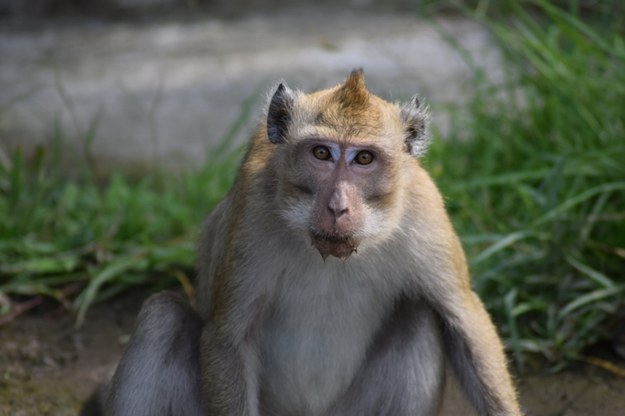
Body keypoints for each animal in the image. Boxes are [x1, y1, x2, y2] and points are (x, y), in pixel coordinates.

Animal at [84, 70, 520, 414]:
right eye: (321, 153)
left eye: (364, 159)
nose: (338, 207)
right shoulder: (252, 215)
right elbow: (228, 338)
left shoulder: (423, 213)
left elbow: (463, 320)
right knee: (162, 316)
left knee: (419, 317)